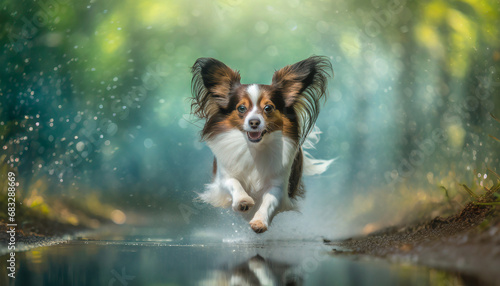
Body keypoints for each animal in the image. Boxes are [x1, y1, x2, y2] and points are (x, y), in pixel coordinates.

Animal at [189, 57, 334, 233]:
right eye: (241, 108)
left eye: (268, 108)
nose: (254, 122)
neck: (254, 149)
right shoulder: (223, 178)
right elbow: (234, 183)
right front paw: (243, 200)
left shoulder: (278, 186)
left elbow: (268, 201)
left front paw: (260, 221)